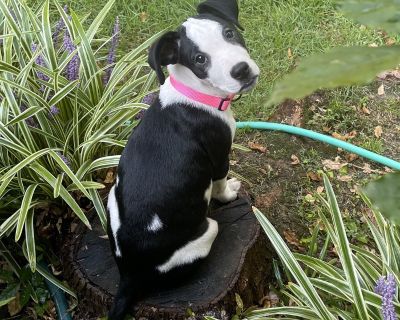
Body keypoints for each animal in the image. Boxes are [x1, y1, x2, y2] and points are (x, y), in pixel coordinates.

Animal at [106, 1, 258, 318]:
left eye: (229, 33)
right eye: (199, 59)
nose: (240, 70)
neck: (195, 93)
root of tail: (129, 276)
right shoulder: (219, 157)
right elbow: (220, 183)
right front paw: (229, 193)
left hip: (112, 197)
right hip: (207, 230)